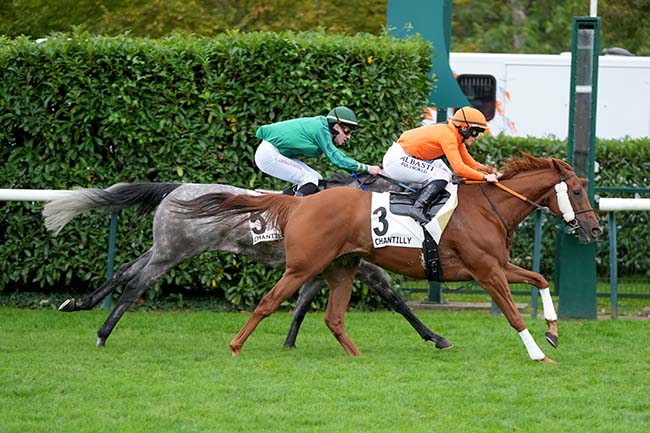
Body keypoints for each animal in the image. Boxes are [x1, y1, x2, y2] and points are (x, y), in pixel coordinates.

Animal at [44, 174, 450, 350]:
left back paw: (77, 303)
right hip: (174, 251)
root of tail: (175, 188)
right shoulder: (361, 266)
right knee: (135, 284)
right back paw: (103, 333)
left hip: (164, 246)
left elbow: (301, 304)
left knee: (125, 270)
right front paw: (436, 337)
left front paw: (288, 343)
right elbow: (396, 301)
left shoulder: (320, 268)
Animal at [177, 154, 604, 362]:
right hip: (304, 266)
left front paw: (552, 331)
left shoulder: (497, 266)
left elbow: (540, 279)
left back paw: (357, 356)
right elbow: (514, 315)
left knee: (333, 317)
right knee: (268, 302)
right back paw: (235, 346)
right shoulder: (486, 272)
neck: (489, 207)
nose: (595, 230)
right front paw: (538, 355)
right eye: (577, 191)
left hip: (342, 268)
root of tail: (302, 201)